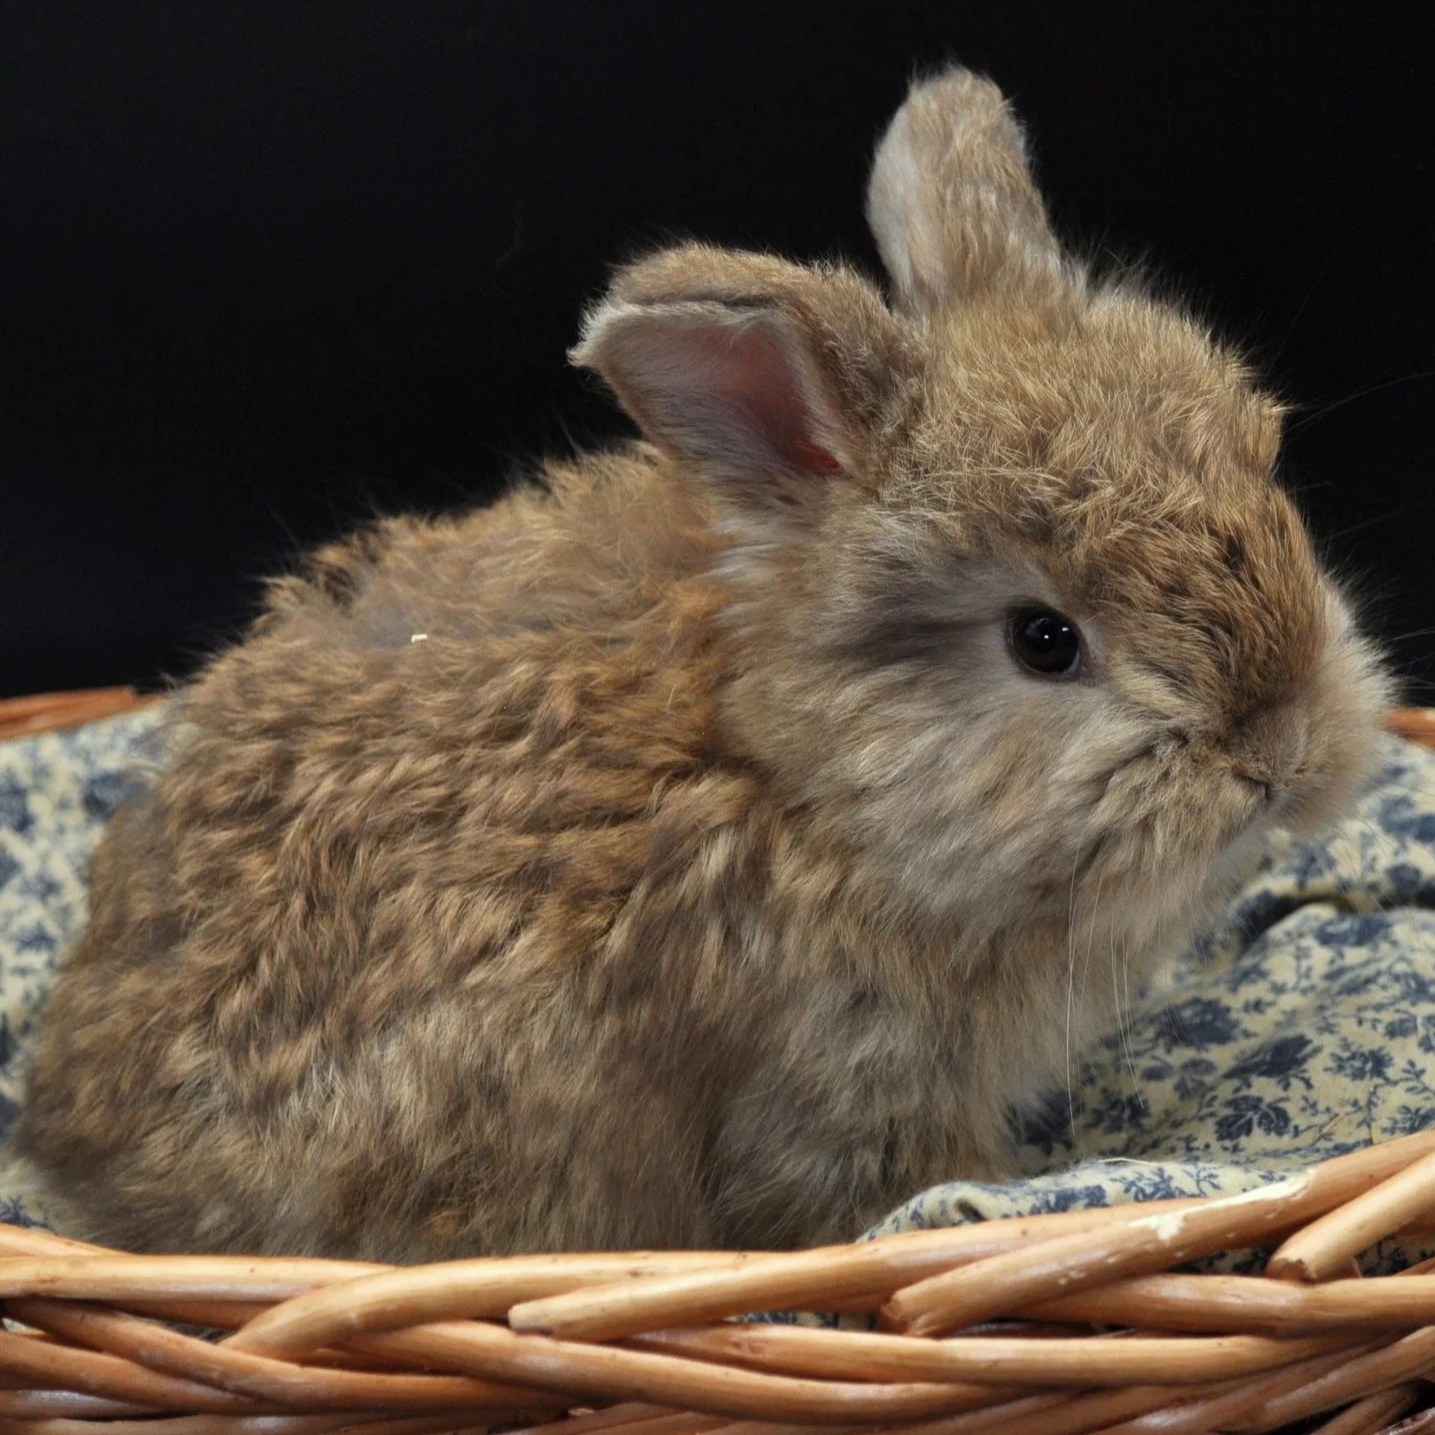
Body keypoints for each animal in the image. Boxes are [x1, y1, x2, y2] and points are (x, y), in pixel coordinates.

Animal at [14, 67, 1390, 1260]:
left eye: (1265, 474)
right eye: (1042, 640)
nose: (1281, 754)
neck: (803, 778)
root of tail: (69, 1132)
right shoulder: (832, 1093)